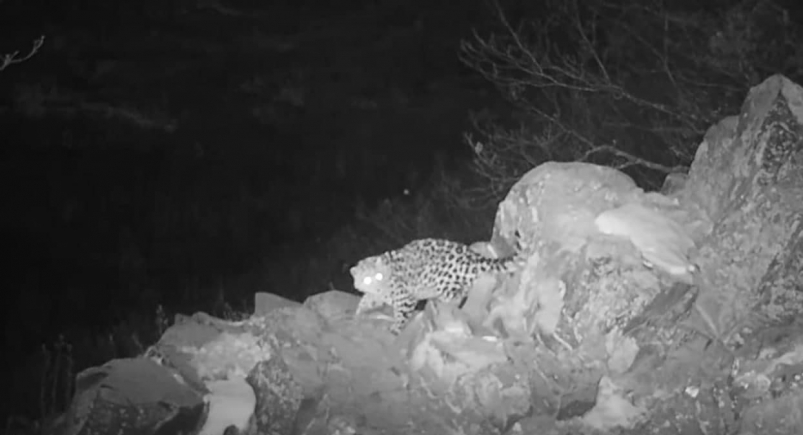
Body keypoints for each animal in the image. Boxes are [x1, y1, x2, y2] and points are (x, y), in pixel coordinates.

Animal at [350, 236, 527, 334]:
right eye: (366, 280)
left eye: (379, 276)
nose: (378, 287)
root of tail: (475, 258)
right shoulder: (376, 294)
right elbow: (366, 300)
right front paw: (358, 313)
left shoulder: (405, 298)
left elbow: (401, 315)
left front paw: (395, 329)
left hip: (444, 280)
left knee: (456, 296)